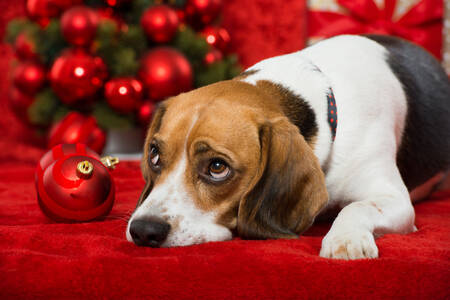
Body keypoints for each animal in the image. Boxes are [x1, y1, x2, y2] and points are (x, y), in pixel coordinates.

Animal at [125, 35, 448, 258]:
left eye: (217, 167)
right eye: (155, 156)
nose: (143, 230)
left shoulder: (395, 199)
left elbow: (357, 206)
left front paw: (345, 239)